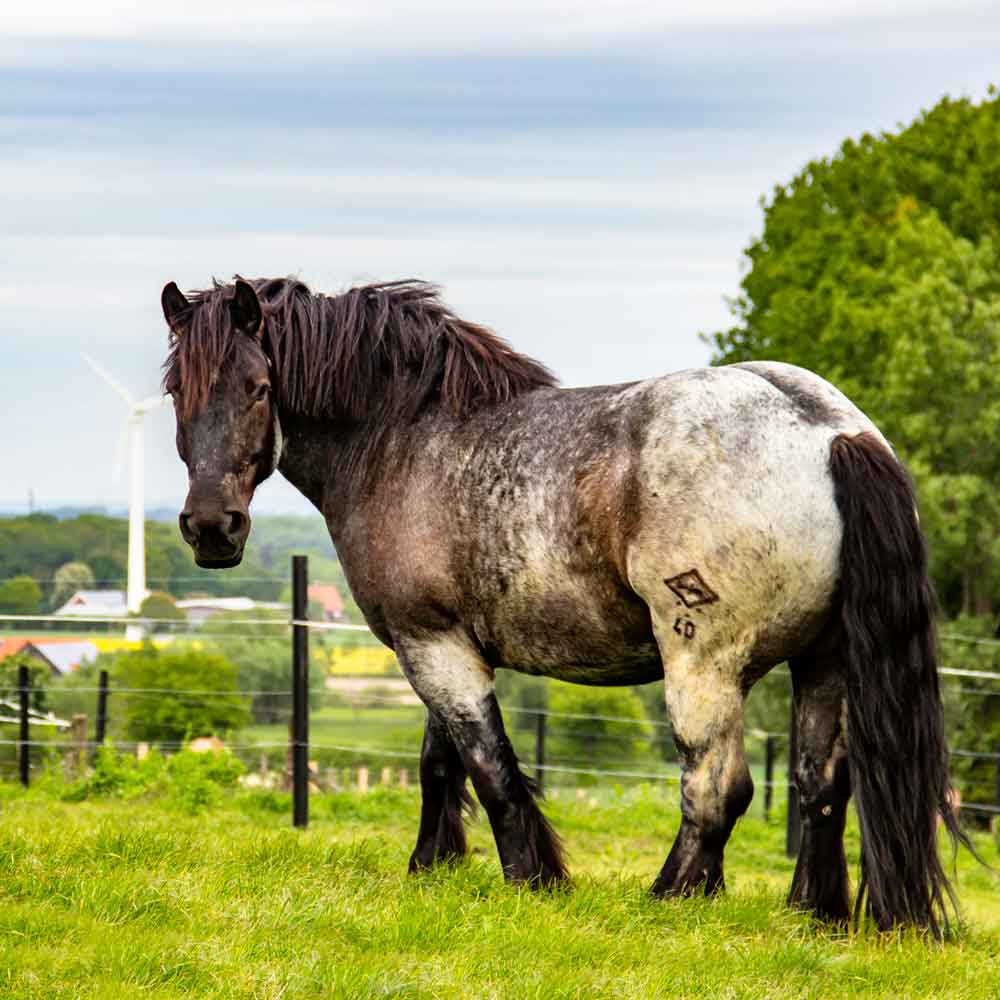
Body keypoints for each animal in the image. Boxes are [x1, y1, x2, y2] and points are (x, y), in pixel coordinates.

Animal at [160, 276, 964, 936]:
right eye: (176, 393)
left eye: (259, 387)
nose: (211, 528)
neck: (405, 440)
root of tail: (829, 432)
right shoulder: (439, 642)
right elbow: (439, 763)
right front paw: (431, 870)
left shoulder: (433, 647)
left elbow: (491, 769)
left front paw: (532, 883)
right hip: (823, 662)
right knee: (820, 784)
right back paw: (812, 915)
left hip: (702, 663)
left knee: (717, 789)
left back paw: (670, 900)